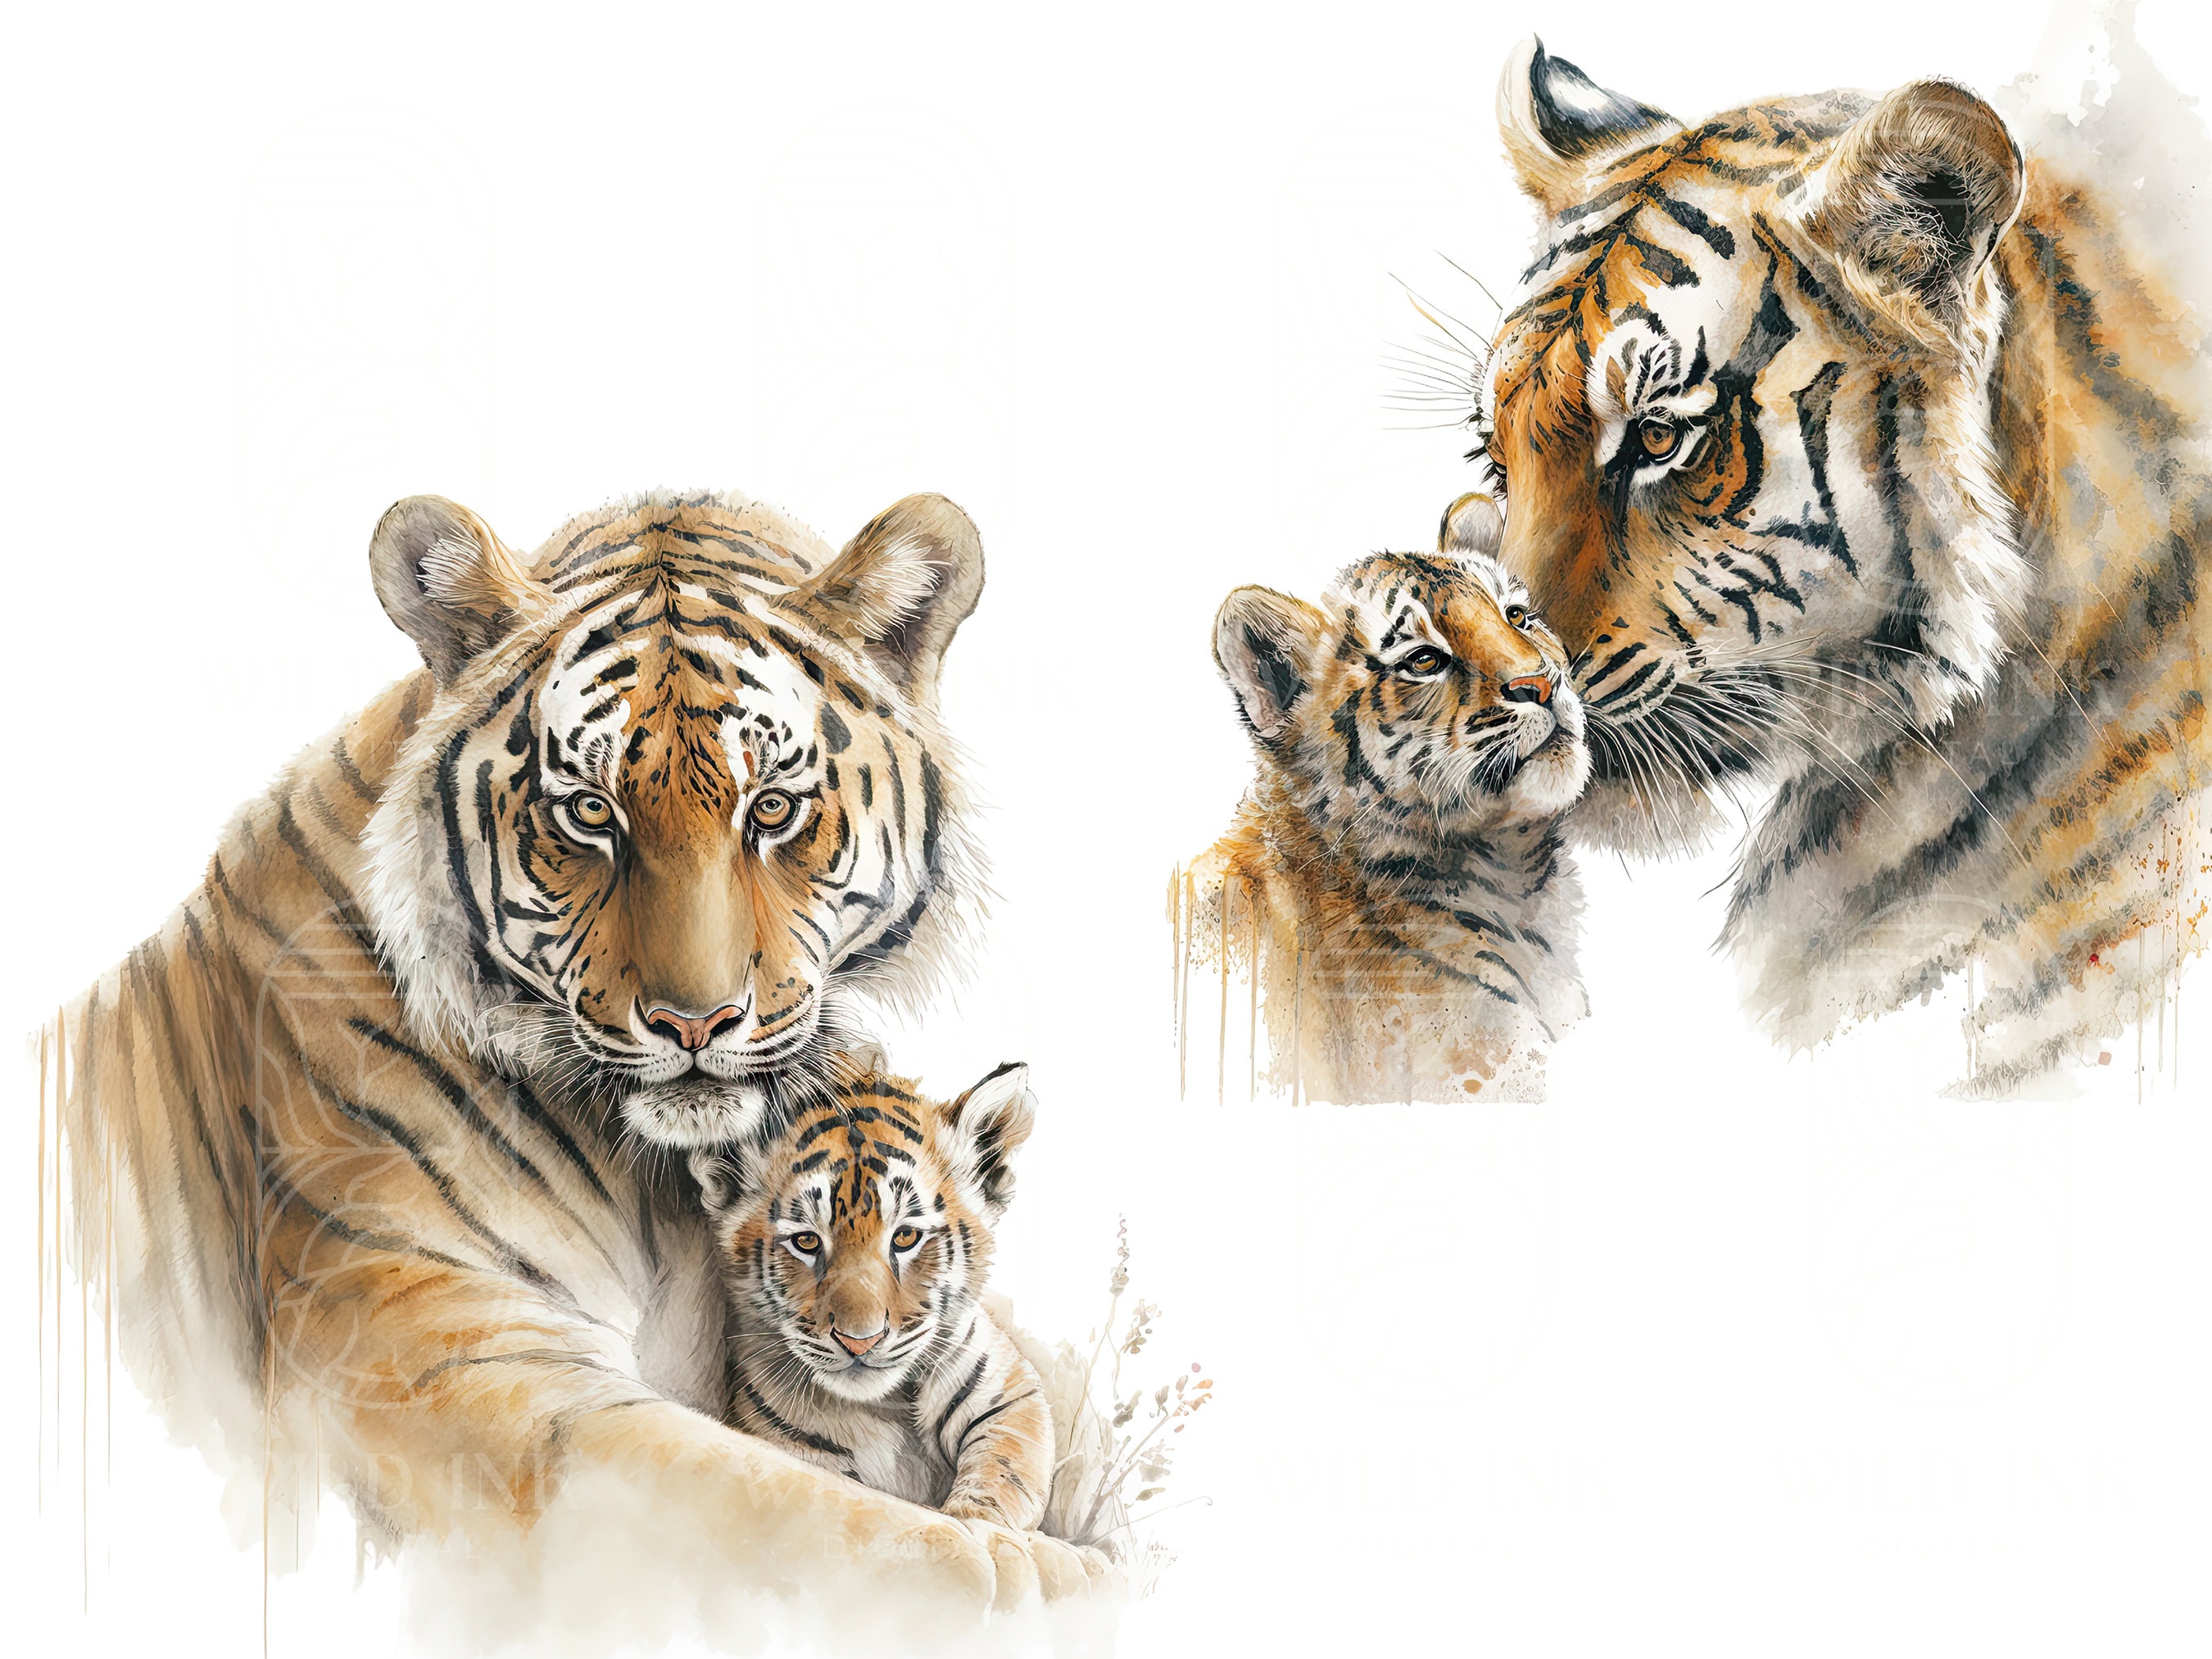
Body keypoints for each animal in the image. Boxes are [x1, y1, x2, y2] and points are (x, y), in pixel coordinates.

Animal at [691, 1063, 1052, 1536]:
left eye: (906, 1236)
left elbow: (999, 1485)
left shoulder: (1010, 1397)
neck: (887, 1407)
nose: (859, 1341)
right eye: (806, 1241)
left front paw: (971, 1526)